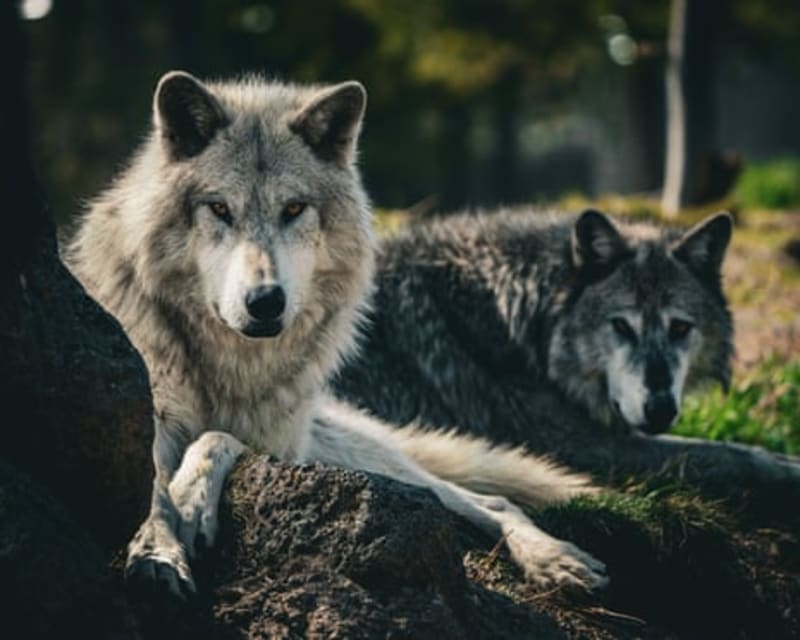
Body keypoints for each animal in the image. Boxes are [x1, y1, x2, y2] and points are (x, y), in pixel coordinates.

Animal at [65, 71, 609, 599]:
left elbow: (217, 437)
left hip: (347, 456)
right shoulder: (147, 418)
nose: (266, 301)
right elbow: (152, 489)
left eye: (293, 209)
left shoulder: (281, 445)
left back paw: (557, 559)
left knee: (492, 501)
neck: (231, 366)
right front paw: (157, 552)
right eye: (219, 209)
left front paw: (191, 502)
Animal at [333, 209, 800, 491]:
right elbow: (727, 453)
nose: (660, 409)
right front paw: (785, 467)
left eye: (680, 328)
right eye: (621, 326)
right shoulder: (585, 447)